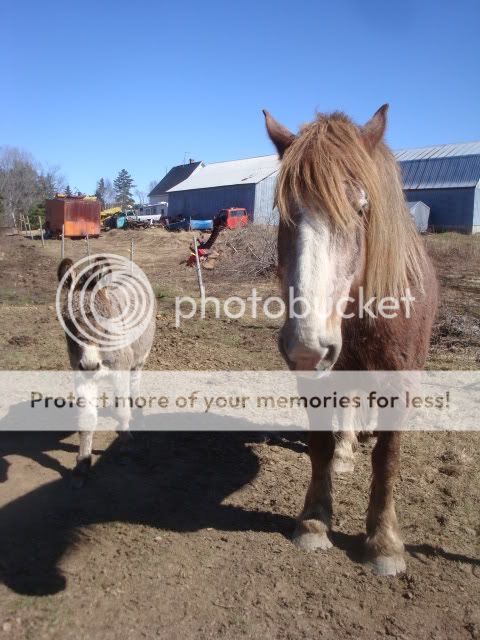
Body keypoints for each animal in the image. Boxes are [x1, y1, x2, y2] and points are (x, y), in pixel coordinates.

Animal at [57, 255, 156, 484]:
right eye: (68, 323)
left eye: (102, 322)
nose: (90, 366)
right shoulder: (81, 375)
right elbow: (86, 419)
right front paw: (83, 463)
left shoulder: (120, 369)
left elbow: (121, 411)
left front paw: (126, 443)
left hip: (138, 360)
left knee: (134, 384)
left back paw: (137, 411)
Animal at [262, 104, 438, 576]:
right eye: (282, 212)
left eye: (362, 208)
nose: (306, 346)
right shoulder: (319, 377)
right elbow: (320, 446)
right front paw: (314, 521)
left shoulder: (401, 380)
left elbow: (388, 459)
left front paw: (384, 543)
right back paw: (346, 451)